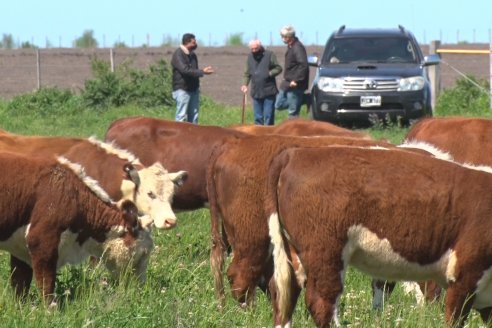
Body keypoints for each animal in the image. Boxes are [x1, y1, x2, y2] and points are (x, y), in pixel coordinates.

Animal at [0, 152, 154, 306]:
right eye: (143, 253)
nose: (140, 287)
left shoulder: (20, 248)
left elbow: (20, 284)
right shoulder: (41, 241)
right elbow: (46, 284)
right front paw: (50, 309)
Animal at [268, 147, 492, 328]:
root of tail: (295, 153)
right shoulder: (465, 274)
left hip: (292, 251)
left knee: (284, 295)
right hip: (326, 253)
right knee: (321, 302)